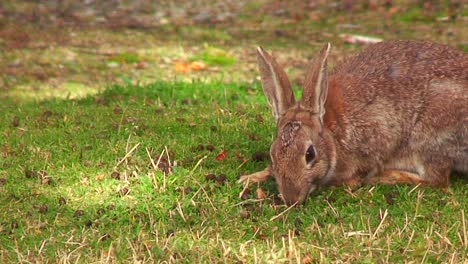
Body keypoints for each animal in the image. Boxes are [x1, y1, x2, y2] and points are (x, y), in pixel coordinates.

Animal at [239, 40, 468, 205]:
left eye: (310, 154)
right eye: (273, 153)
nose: (291, 199)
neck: (331, 135)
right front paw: (250, 177)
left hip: (430, 137)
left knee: (437, 179)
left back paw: (384, 176)